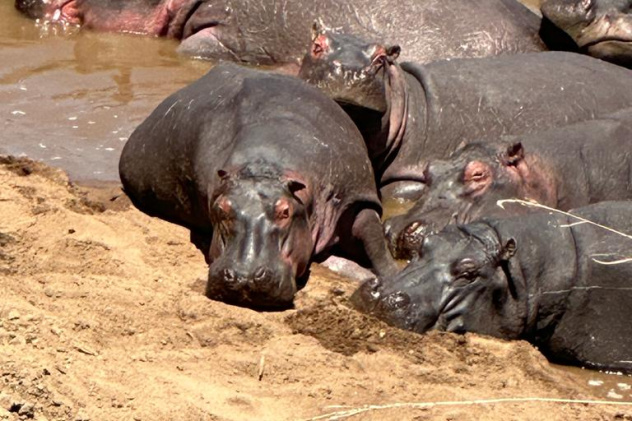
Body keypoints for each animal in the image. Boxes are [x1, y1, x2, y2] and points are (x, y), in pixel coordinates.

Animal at [118, 64, 396, 310]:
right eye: (221, 209)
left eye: (285, 211)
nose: (245, 277)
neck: (264, 167)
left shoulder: (355, 194)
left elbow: (373, 237)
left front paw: (390, 279)